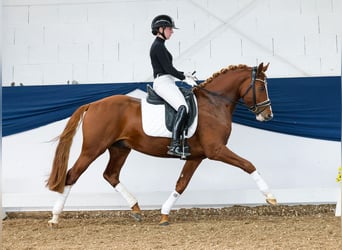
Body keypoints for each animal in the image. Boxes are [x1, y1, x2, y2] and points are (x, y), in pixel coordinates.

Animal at [46, 63, 276, 227]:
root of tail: (92, 104)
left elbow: (181, 184)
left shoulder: (196, 156)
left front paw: (164, 214)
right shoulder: (216, 150)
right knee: (72, 175)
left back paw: (136, 209)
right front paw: (270, 197)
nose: (268, 115)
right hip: (93, 149)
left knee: (110, 175)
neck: (215, 102)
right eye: (261, 86)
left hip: (120, 148)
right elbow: (248, 164)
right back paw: (55, 217)